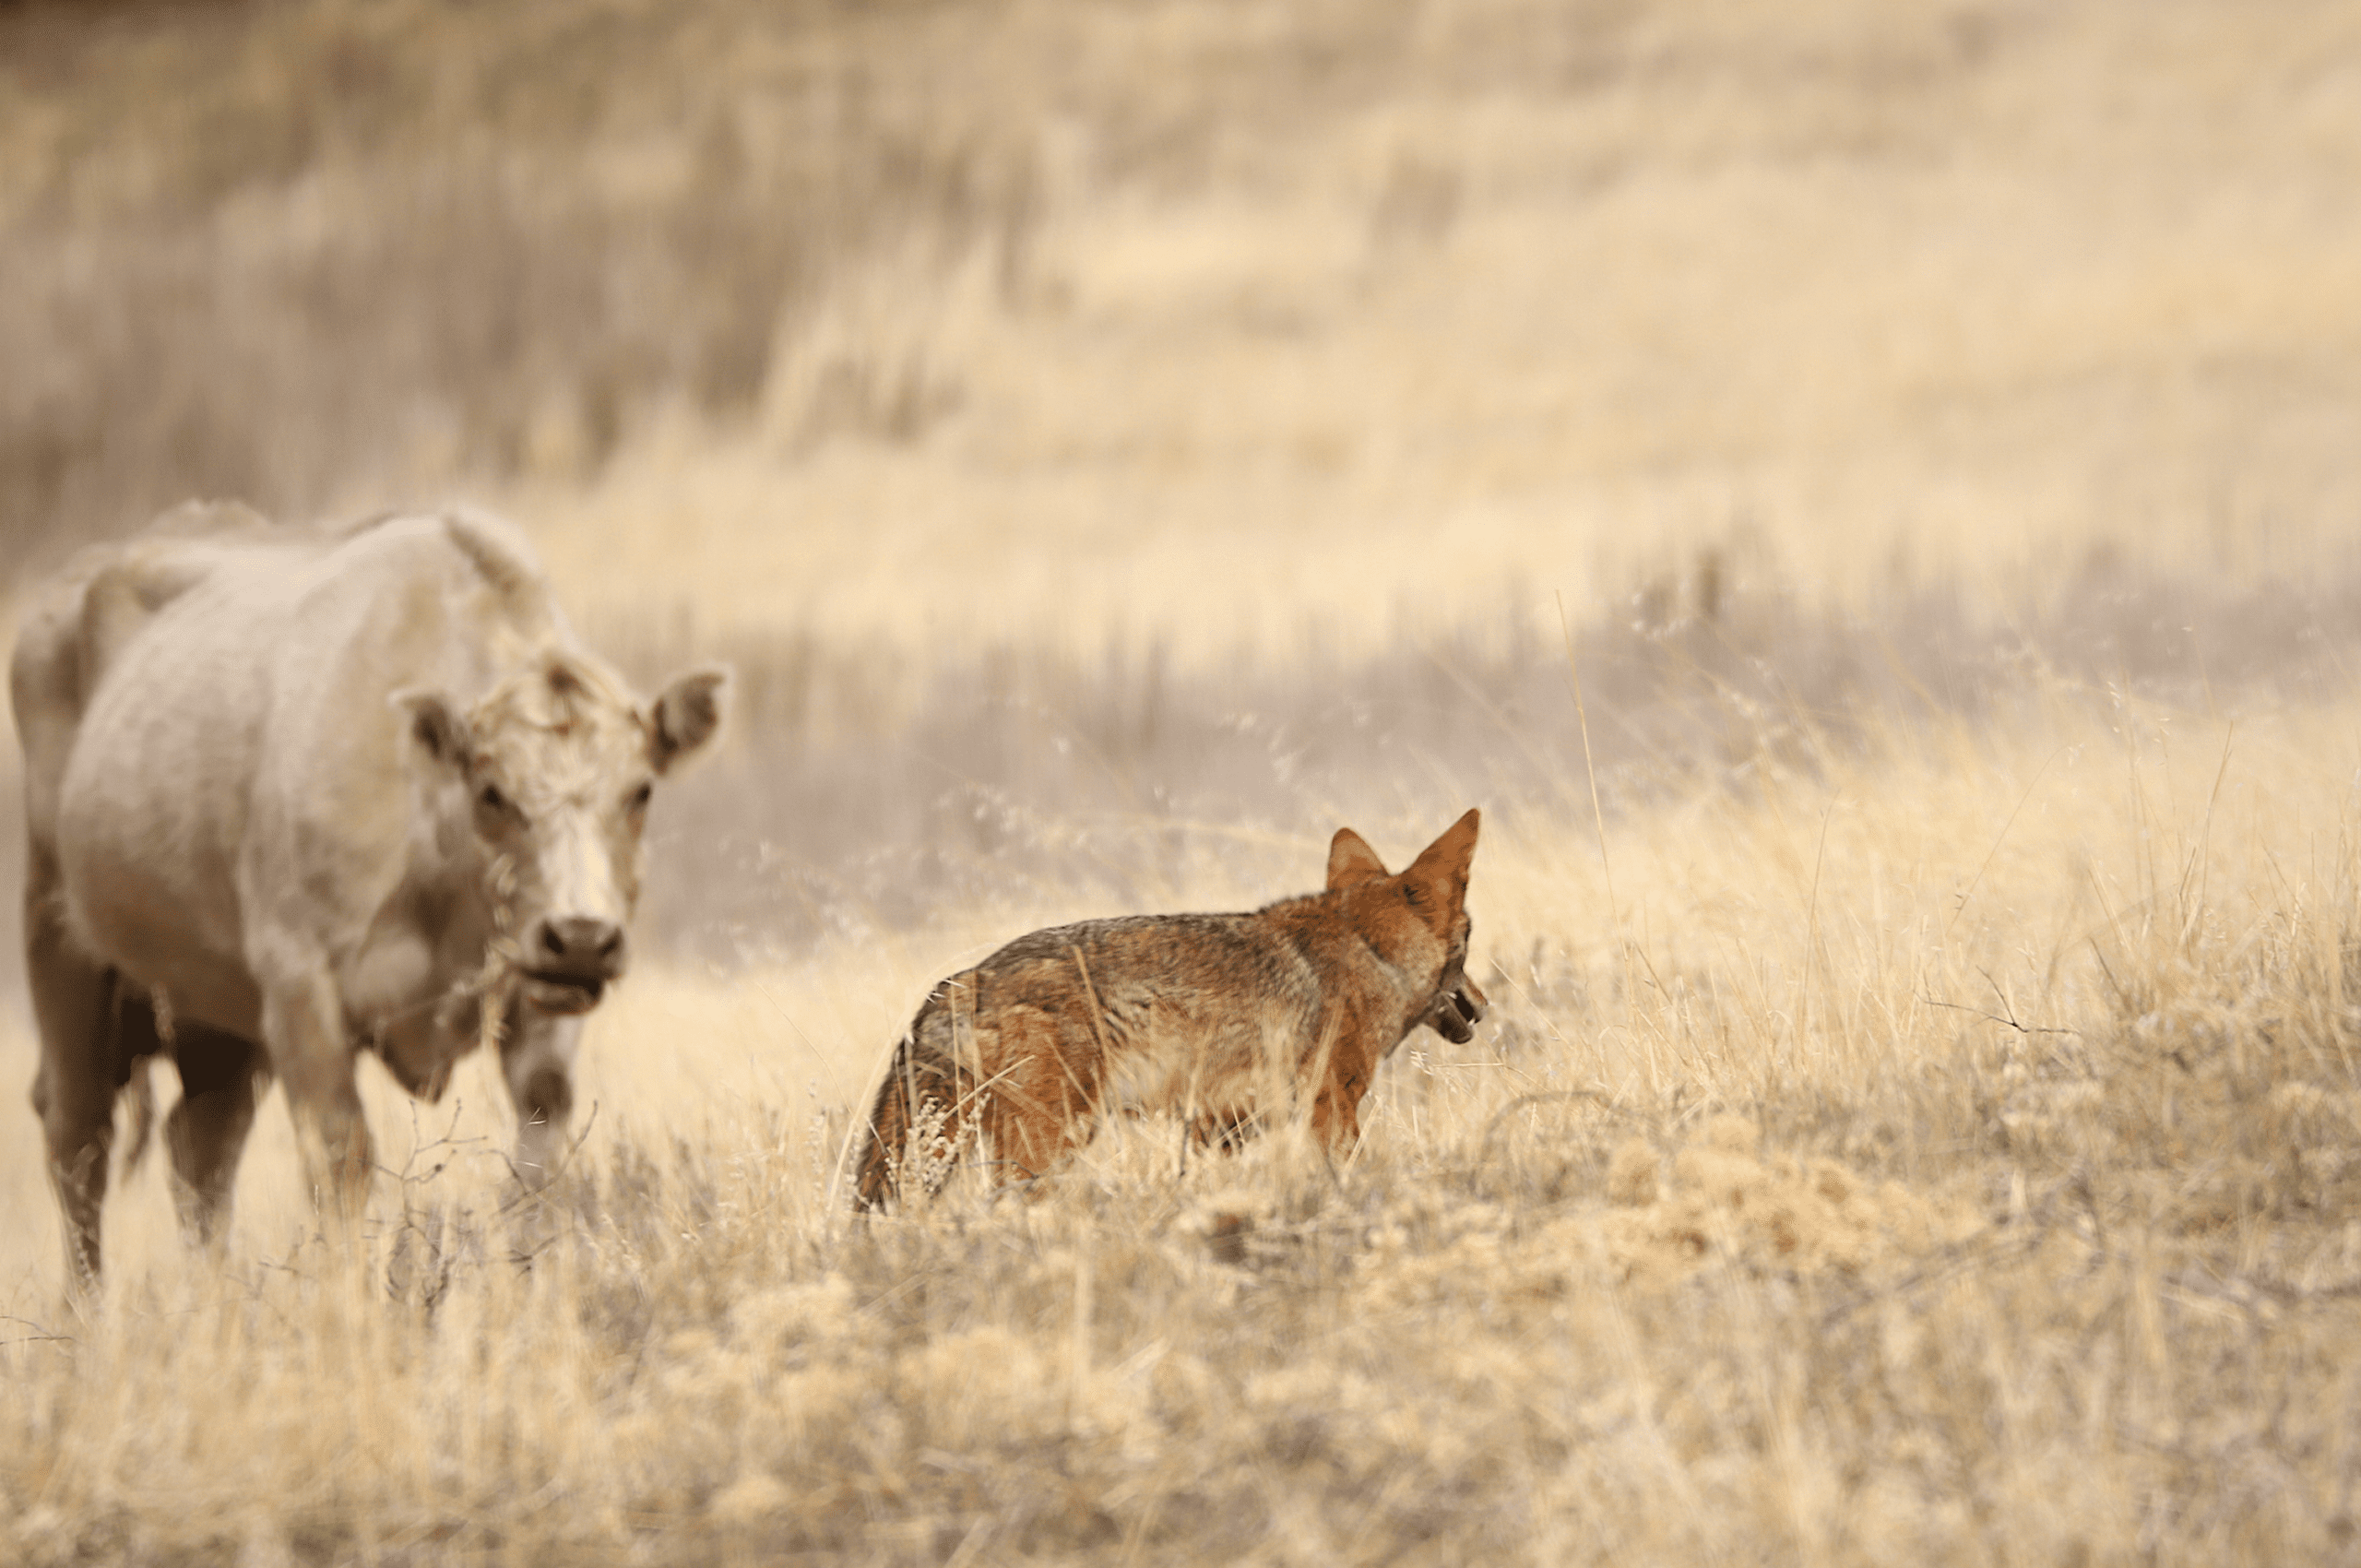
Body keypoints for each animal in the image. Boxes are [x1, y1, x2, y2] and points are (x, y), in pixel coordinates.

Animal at [12, 501, 726, 1288]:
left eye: (640, 790)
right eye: (492, 792)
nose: (581, 939)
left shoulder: (537, 1007)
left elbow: (537, 1158)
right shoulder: (303, 992)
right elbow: (340, 1158)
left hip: (219, 1018)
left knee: (200, 1150)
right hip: (63, 948)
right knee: (79, 1136)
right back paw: (85, 1312)